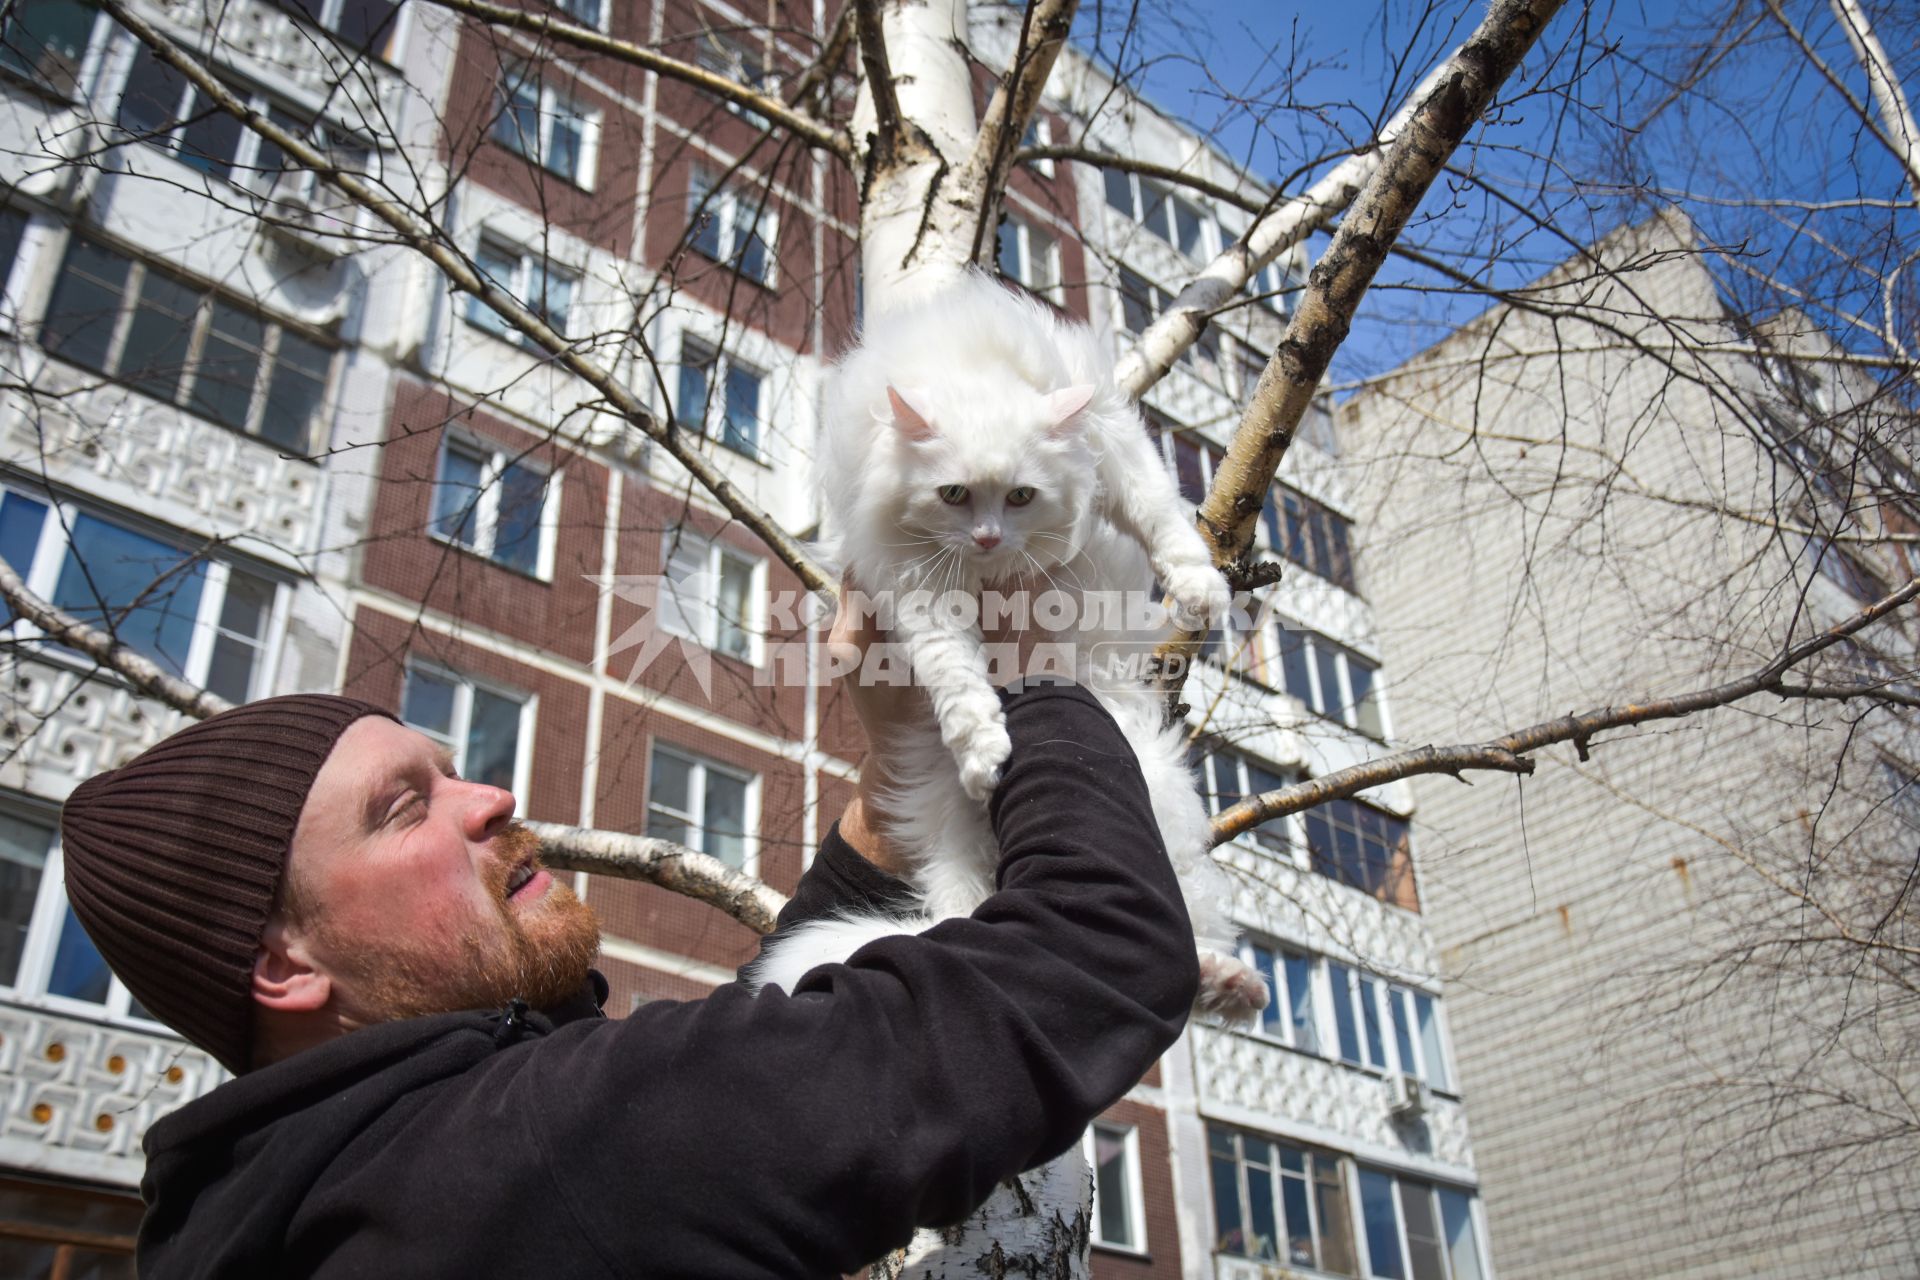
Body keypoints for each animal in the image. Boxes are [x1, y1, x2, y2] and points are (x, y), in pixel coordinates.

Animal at [752, 272, 1274, 1020]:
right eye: (953, 494)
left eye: (1023, 495)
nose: (990, 539)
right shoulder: (915, 583)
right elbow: (957, 676)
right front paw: (984, 750)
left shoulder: (1114, 439)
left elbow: (1160, 515)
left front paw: (1202, 589)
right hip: (962, 839)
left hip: (1158, 801)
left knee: (1184, 938)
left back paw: (1233, 983)